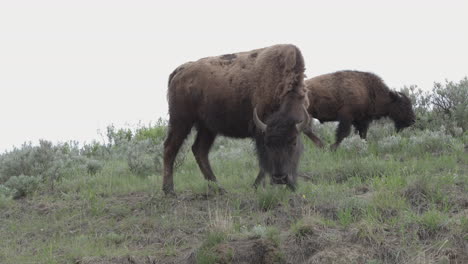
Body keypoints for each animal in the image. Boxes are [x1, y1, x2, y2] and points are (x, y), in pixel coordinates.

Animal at [165, 44, 310, 195]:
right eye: (268, 144)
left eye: (293, 142)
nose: (280, 178)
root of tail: (180, 70)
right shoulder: (260, 131)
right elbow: (263, 162)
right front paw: (256, 186)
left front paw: (292, 187)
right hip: (181, 121)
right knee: (170, 148)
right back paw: (169, 189)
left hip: (207, 128)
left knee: (199, 150)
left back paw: (219, 188)